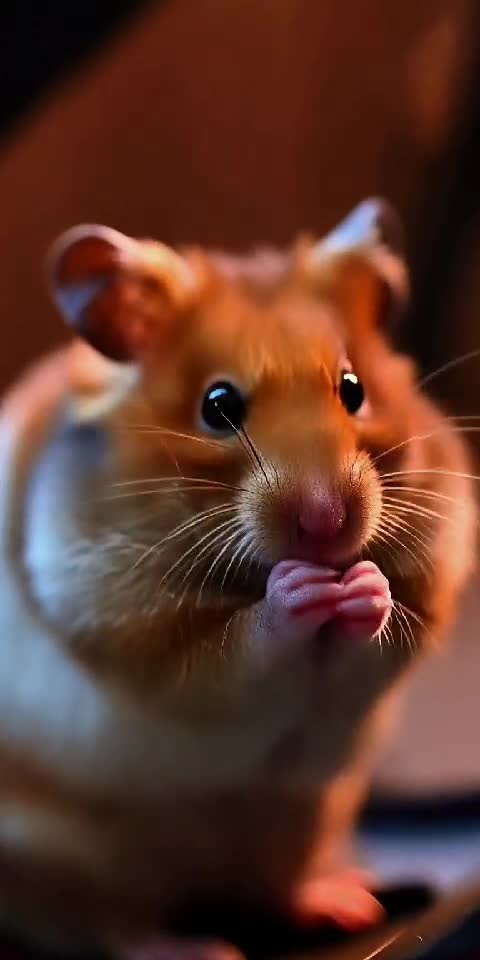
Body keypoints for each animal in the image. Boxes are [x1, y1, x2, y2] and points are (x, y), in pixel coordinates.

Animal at [0, 199, 475, 959]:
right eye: (218, 406)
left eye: (354, 390)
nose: (327, 522)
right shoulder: (128, 619)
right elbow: (233, 646)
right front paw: (297, 592)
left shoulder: (432, 579)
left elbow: (384, 631)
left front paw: (363, 586)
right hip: (60, 852)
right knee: (94, 922)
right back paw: (192, 948)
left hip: (307, 816)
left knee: (266, 890)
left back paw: (344, 906)